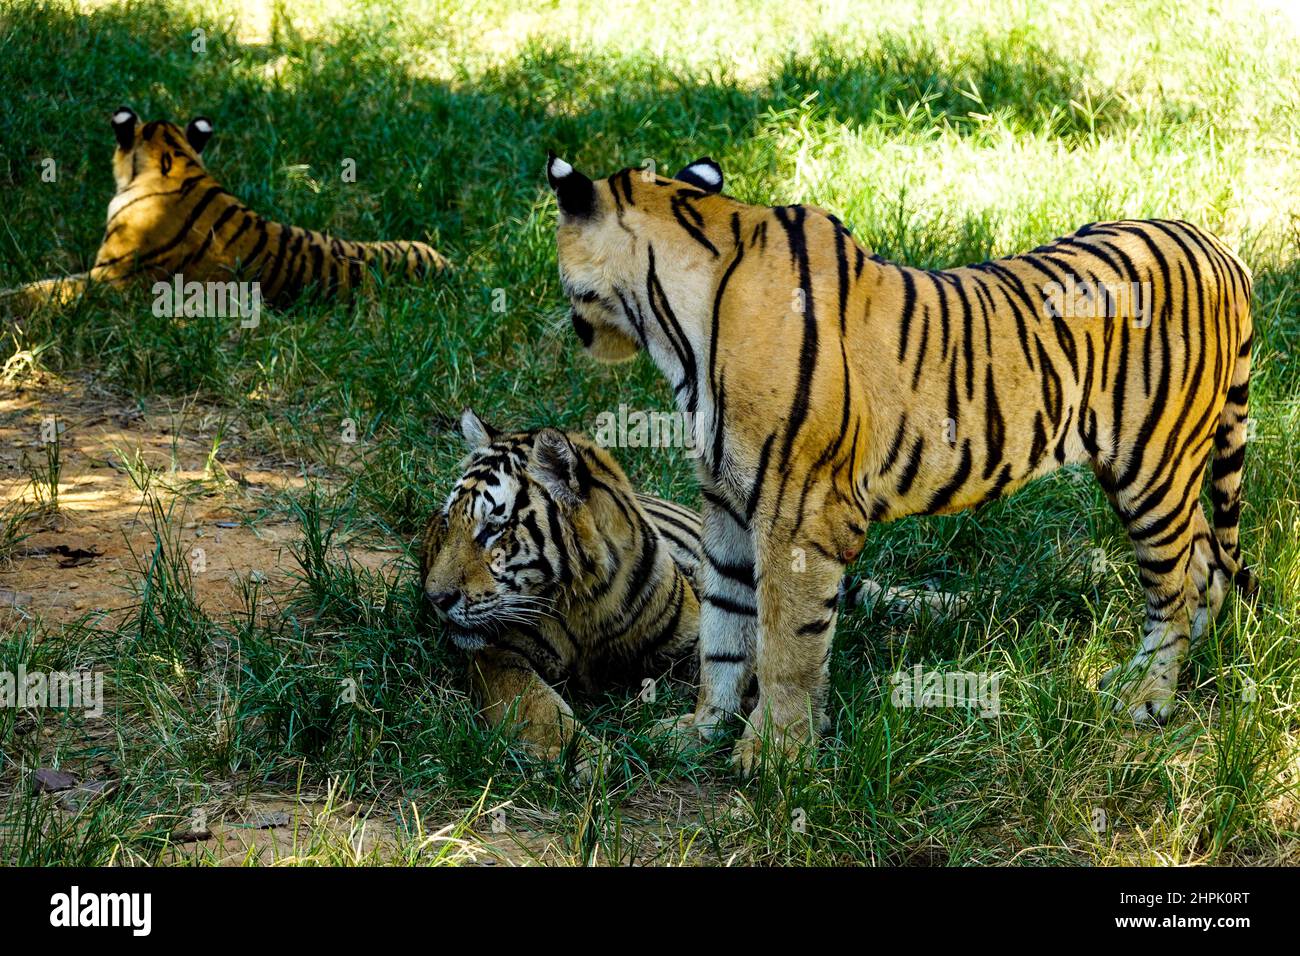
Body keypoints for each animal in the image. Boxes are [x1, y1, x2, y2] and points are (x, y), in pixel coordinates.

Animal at [418, 408, 962, 767]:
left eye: (492, 530)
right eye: (447, 523)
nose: (435, 599)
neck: (583, 601)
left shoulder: (698, 631)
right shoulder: (499, 651)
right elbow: (531, 699)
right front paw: (578, 753)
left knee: (851, 589)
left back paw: (947, 607)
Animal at [545, 152, 1255, 775]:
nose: (573, 327)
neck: (673, 327)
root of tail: (1218, 247)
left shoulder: (800, 513)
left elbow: (784, 644)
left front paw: (772, 757)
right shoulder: (725, 502)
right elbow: (724, 626)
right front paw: (703, 730)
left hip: (1153, 466)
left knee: (1174, 584)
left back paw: (1147, 695)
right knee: (1202, 563)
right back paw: (1181, 659)